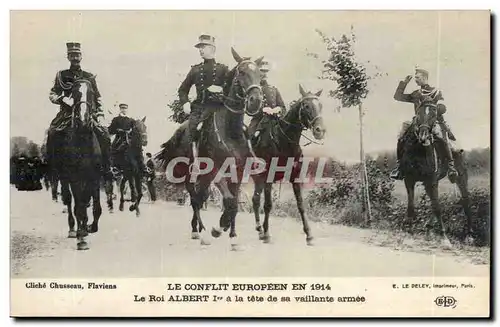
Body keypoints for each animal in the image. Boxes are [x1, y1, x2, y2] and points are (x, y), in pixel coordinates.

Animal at [47, 77, 104, 251]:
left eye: (91, 92)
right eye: (74, 92)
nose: (83, 121)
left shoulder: (95, 177)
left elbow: (93, 204)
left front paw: (90, 227)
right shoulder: (74, 178)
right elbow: (79, 205)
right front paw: (81, 237)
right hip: (62, 177)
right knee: (68, 199)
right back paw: (73, 229)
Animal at [156, 48, 266, 249]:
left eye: (260, 75)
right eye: (241, 72)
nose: (255, 101)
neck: (230, 131)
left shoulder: (237, 173)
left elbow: (234, 204)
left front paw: (232, 235)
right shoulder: (216, 171)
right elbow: (229, 201)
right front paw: (217, 229)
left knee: (201, 196)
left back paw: (200, 229)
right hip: (191, 174)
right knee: (195, 198)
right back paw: (199, 231)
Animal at [248, 86, 326, 245]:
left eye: (320, 105)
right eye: (306, 106)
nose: (320, 131)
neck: (285, 140)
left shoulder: (295, 177)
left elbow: (301, 204)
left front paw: (309, 234)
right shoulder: (269, 177)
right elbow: (268, 205)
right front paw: (267, 234)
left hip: (258, 178)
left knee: (255, 199)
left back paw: (259, 229)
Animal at [398, 101, 472, 247]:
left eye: (434, 114)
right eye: (418, 113)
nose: (423, 136)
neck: (419, 150)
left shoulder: (431, 180)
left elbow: (437, 207)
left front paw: (444, 238)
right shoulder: (409, 180)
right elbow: (411, 206)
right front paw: (409, 235)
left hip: (460, 176)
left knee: (465, 200)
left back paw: (469, 235)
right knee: (434, 202)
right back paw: (428, 229)